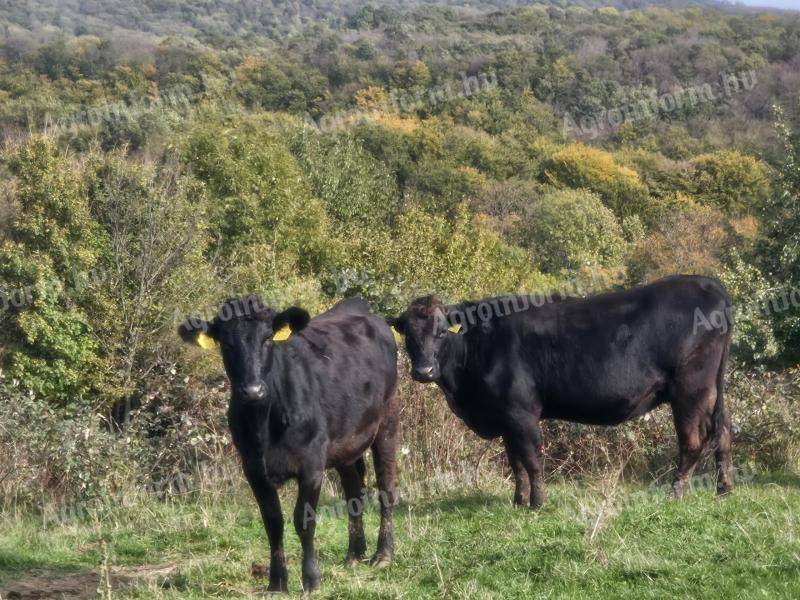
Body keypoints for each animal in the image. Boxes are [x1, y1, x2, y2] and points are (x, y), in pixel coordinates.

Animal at [178, 296, 396, 592]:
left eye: (268, 339)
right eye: (226, 343)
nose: (253, 391)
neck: (264, 425)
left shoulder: (311, 466)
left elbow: (303, 521)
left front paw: (311, 580)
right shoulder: (253, 469)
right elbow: (273, 522)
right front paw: (277, 582)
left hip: (387, 419)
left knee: (386, 486)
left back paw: (383, 554)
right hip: (346, 442)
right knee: (353, 489)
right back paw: (354, 554)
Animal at [390, 276, 736, 506]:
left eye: (441, 331)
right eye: (408, 334)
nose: (424, 370)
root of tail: (707, 283)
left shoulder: (521, 411)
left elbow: (531, 459)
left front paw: (537, 503)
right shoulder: (505, 417)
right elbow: (515, 462)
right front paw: (518, 501)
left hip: (690, 388)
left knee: (693, 441)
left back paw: (675, 492)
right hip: (711, 390)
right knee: (723, 433)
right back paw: (725, 488)